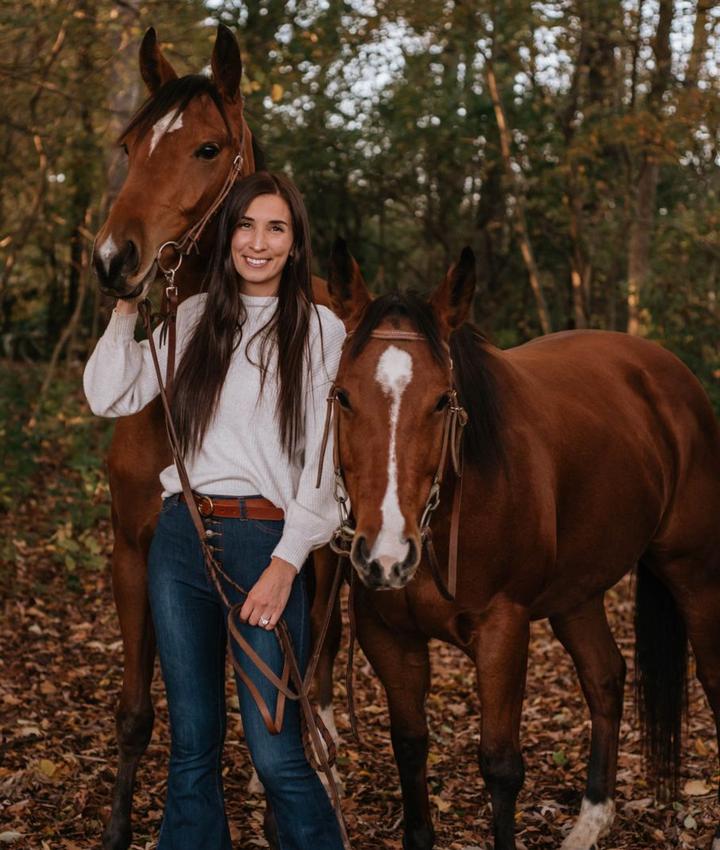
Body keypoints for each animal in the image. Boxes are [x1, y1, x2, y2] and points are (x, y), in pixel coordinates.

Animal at [324, 238, 720, 848]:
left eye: (442, 400)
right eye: (343, 395)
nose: (385, 554)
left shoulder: (503, 631)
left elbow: (501, 766)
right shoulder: (388, 636)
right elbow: (410, 747)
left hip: (693, 572)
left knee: (712, 678)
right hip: (577, 593)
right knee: (606, 678)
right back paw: (590, 821)